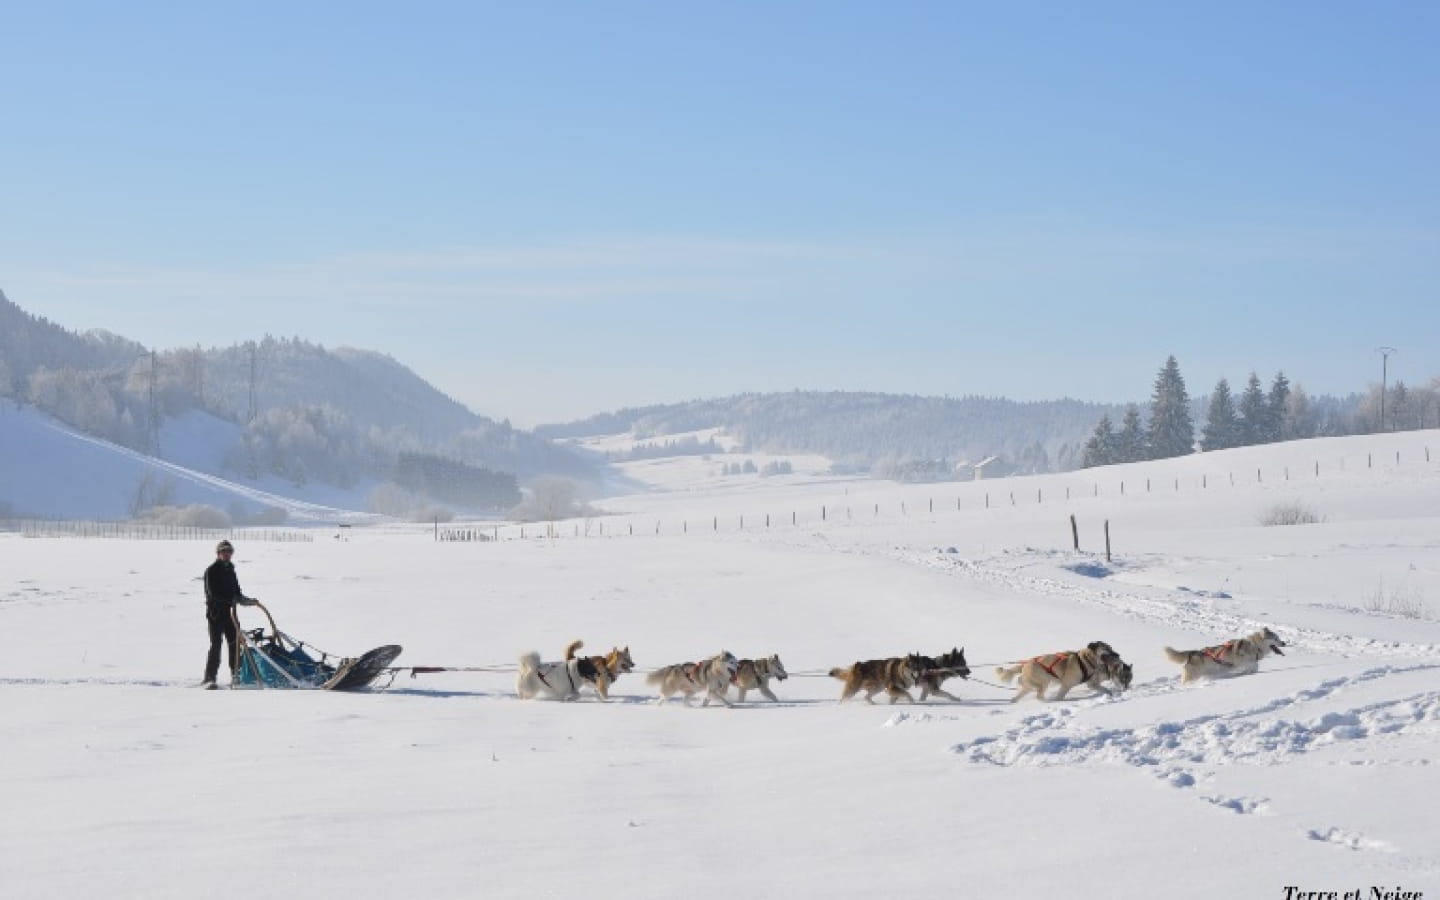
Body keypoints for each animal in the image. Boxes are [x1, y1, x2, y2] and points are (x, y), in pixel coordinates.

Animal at [996, 639, 1128, 702]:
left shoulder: (1091, 683)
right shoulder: (1066, 684)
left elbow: (1102, 688)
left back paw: (1014, 701)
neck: (1086, 659)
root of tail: (1025, 664)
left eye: (1111, 648)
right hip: (1043, 682)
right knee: (1038, 694)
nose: (1118, 654)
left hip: (1030, 686)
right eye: (1107, 649)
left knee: (1021, 694)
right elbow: (1060, 696)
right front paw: (1058, 701)